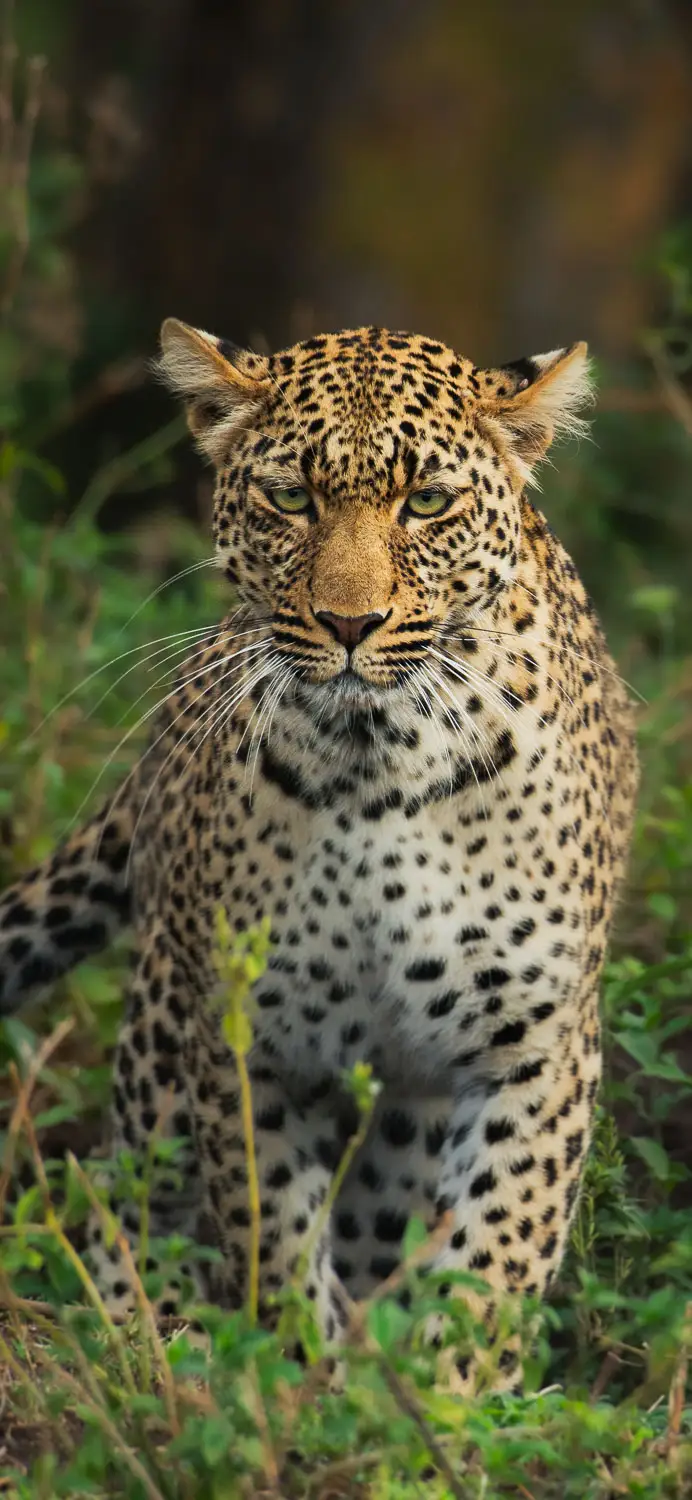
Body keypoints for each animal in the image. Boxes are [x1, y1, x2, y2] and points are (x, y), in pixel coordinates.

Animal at [0, 317, 639, 1391]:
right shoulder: (241, 1039)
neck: (378, 758)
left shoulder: (536, 1046)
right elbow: (274, 1229)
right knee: (136, 1196)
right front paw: (308, 1377)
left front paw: (448, 1400)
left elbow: (498, 1249)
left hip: (406, 1113)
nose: (349, 623)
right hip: (161, 1034)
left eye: (428, 503)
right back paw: (136, 1339)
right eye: (290, 498)